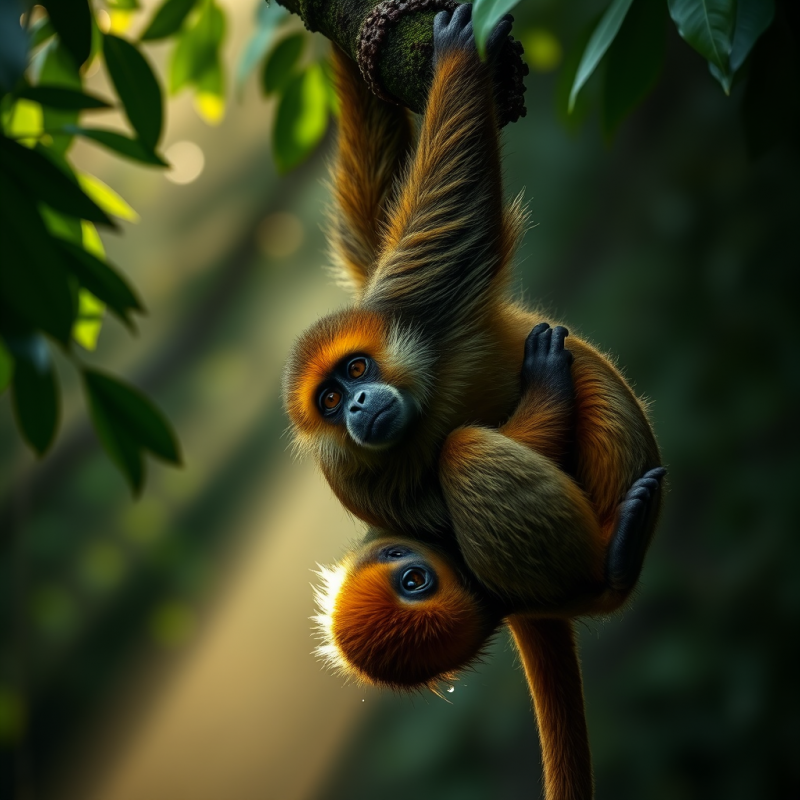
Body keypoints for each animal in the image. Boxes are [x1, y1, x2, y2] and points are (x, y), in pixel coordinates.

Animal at [282, 6, 665, 799]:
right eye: (329, 402)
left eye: (353, 373)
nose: (357, 407)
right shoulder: (353, 478)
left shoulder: (398, 299)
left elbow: (389, 212)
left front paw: (390, 41)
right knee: (468, 453)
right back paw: (617, 553)